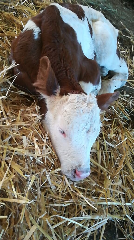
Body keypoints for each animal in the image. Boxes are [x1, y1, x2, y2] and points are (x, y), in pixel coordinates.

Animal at [10, 3, 127, 181]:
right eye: (62, 131)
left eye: (94, 132)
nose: (81, 172)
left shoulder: (92, 71)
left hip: (106, 47)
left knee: (124, 69)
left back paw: (108, 85)